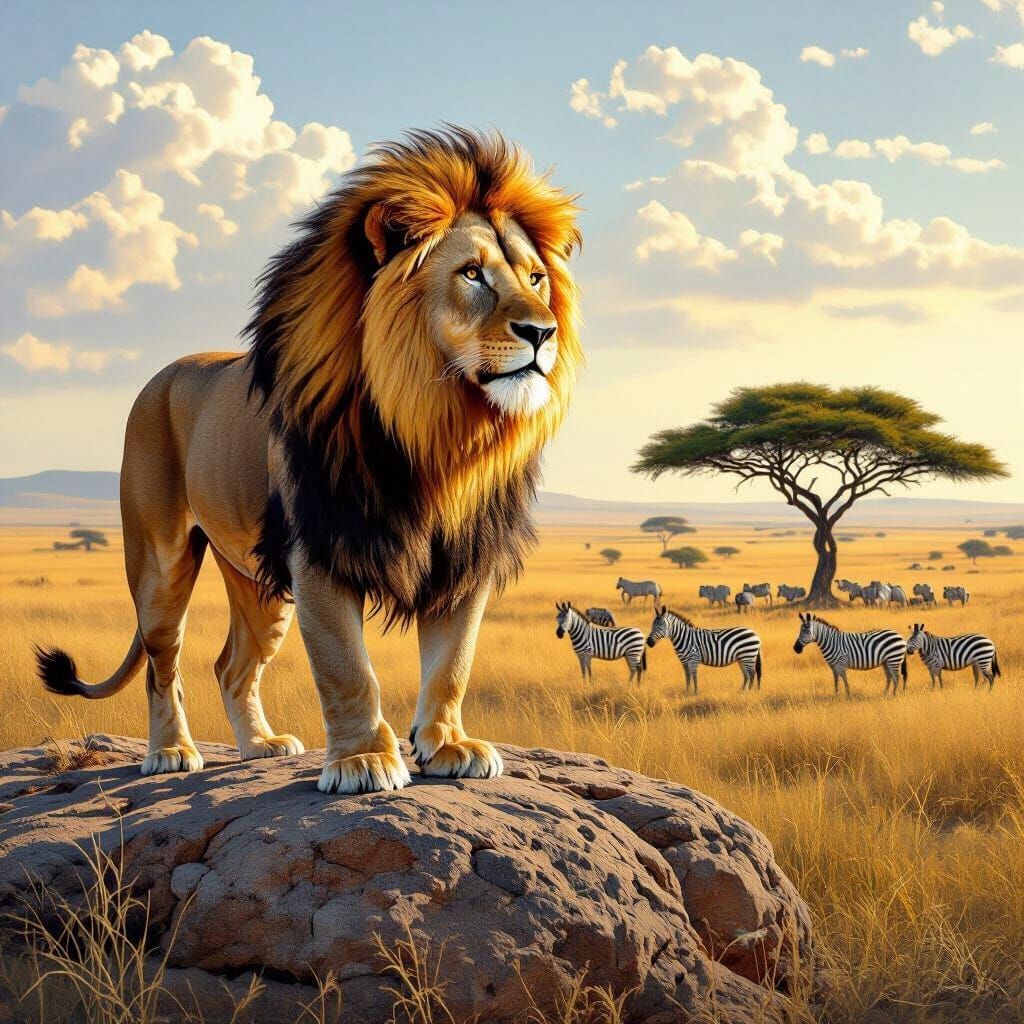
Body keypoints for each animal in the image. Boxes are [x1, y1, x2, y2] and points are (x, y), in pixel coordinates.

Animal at [36, 128, 582, 794]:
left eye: (536, 278)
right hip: (160, 564)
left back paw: (260, 747)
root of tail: (164, 373)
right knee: (163, 667)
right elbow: (347, 668)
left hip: (258, 584)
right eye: (472, 274)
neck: (436, 430)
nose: (543, 332)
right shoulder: (318, 549)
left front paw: (447, 745)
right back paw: (170, 752)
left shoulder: (463, 557)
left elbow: (453, 662)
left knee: (231, 666)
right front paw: (363, 761)